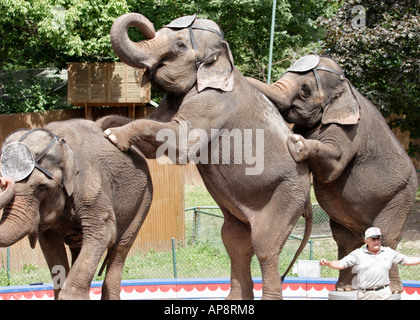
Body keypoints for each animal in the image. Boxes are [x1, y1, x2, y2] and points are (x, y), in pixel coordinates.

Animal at [0, 118, 153, 300]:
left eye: (41, 188)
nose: (5, 181)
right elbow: (50, 245)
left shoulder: (92, 188)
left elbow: (103, 232)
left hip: (143, 199)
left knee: (120, 248)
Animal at [96, 11, 312, 298]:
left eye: (179, 45)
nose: (148, 25)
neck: (223, 57)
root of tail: (307, 200)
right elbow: (154, 141)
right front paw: (102, 124)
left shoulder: (213, 101)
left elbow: (179, 141)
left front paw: (112, 137)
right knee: (235, 243)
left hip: (287, 196)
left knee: (265, 247)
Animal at [248, 54, 418, 292]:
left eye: (305, 90)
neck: (348, 87)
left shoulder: (351, 129)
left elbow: (334, 165)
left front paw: (297, 144)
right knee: (345, 240)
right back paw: (345, 289)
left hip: (401, 197)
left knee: (387, 236)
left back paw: (392, 289)